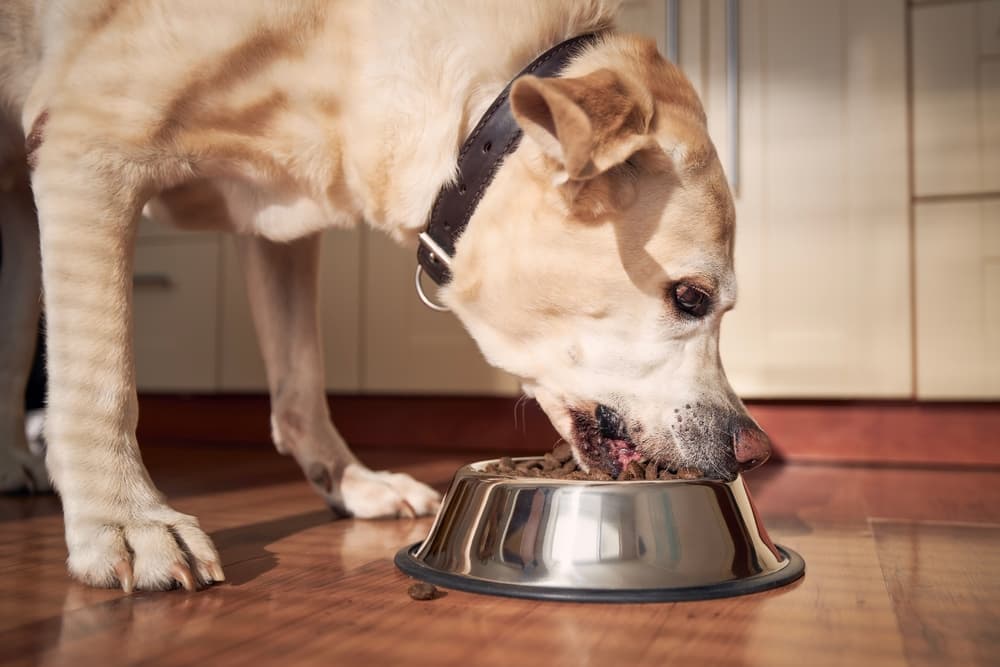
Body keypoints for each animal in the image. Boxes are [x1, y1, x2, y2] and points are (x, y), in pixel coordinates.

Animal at [0, 1, 772, 596]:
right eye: (691, 297)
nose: (757, 450)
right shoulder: (88, 151)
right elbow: (102, 381)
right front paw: (124, 522)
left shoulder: (279, 223)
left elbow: (301, 381)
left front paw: (349, 481)